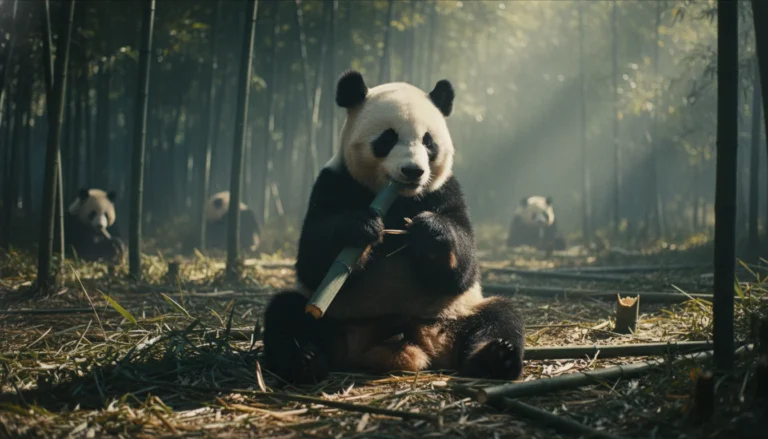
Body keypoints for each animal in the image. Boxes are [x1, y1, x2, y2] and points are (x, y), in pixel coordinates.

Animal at [263, 71, 525, 384]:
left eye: (428, 141)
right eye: (388, 138)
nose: (413, 171)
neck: (400, 199)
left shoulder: (445, 190)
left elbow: (464, 266)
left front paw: (430, 232)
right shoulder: (333, 182)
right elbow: (312, 261)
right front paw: (361, 226)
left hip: (453, 314)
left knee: (500, 315)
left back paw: (497, 357)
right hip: (337, 319)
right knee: (287, 314)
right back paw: (304, 360)